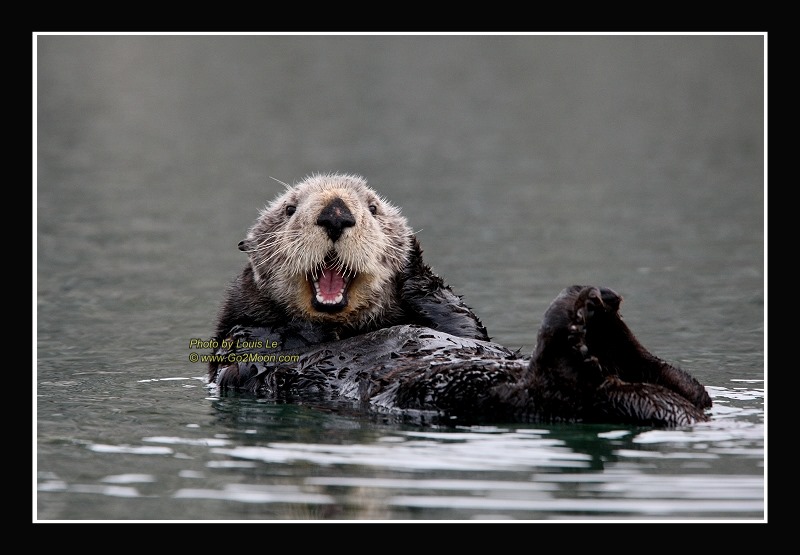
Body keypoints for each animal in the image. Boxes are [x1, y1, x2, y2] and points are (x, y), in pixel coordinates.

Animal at [208, 176, 712, 428]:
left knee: (688, 387)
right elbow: (251, 354)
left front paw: (412, 256)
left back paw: (600, 314)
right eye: (289, 209)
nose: (336, 213)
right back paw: (578, 328)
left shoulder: (457, 321)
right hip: (490, 393)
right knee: (560, 384)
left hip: (673, 388)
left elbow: (462, 320)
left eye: (373, 208)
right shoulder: (239, 340)